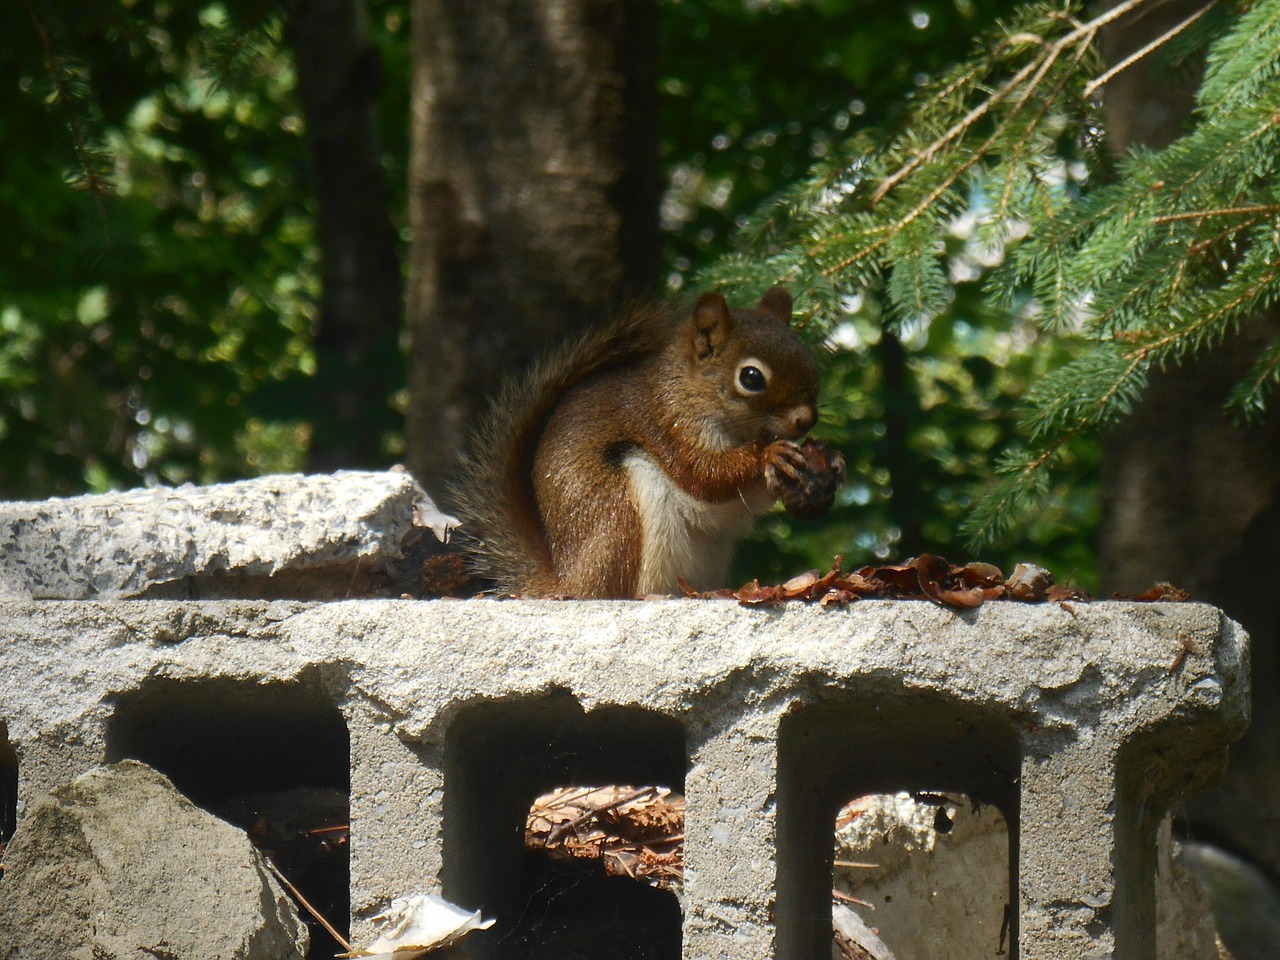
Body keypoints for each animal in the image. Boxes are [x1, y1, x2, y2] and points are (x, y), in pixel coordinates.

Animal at [453, 288, 839, 601]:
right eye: (751, 377)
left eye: (808, 359)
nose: (806, 419)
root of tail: (568, 583)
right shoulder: (667, 426)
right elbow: (706, 476)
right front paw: (768, 455)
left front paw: (830, 462)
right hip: (620, 515)